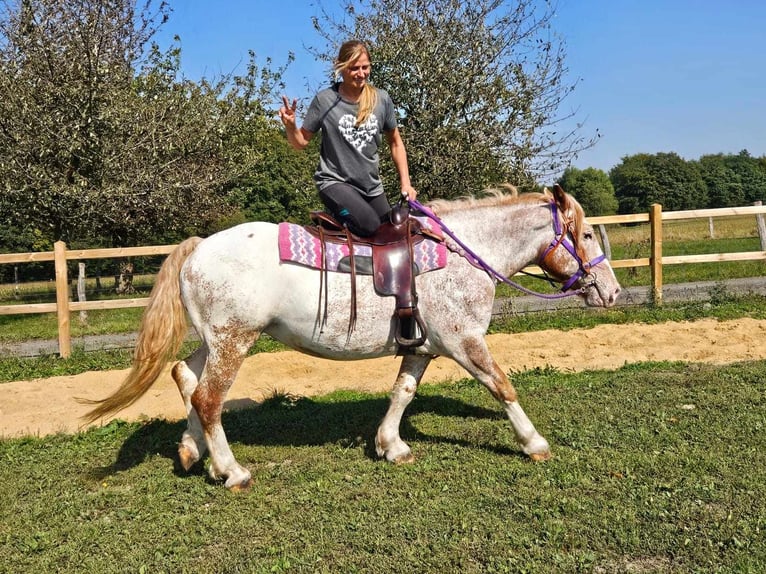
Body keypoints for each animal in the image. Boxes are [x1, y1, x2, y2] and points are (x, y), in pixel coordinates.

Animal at [84, 184, 624, 490]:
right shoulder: (464, 342)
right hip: (235, 341)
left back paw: (194, 453)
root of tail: (198, 247)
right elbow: (502, 386)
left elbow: (402, 392)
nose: (614, 292)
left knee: (186, 377)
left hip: (215, 341)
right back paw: (232, 471)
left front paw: (391, 444)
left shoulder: (424, 348)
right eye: (587, 235)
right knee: (210, 398)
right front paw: (534, 442)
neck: (465, 253)